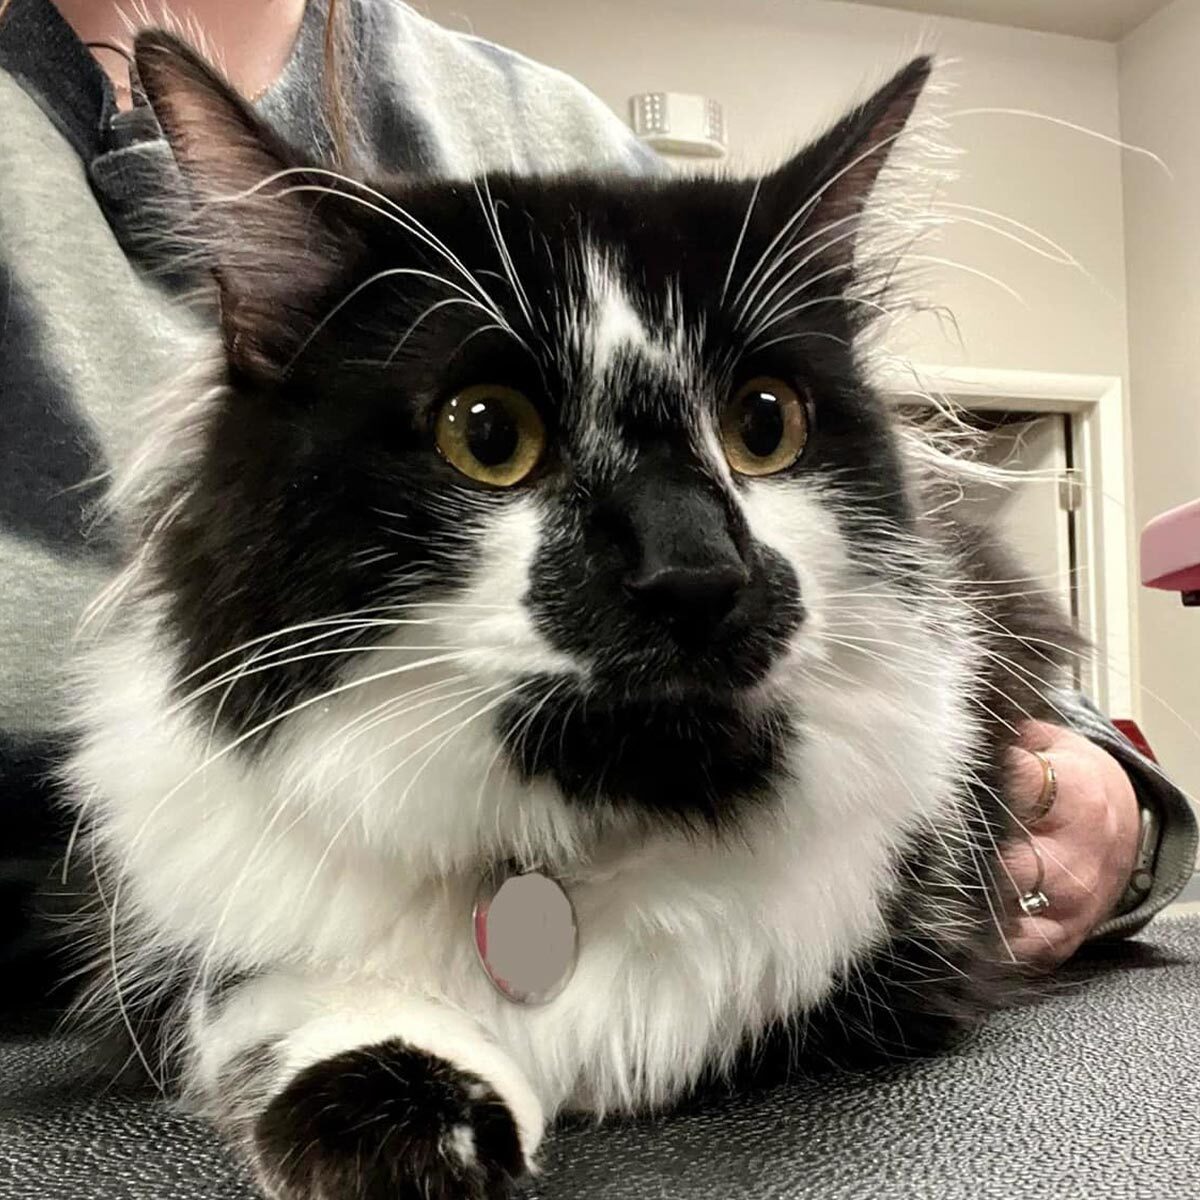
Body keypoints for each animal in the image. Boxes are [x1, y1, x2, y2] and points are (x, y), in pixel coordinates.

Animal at [70, 32, 1075, 1200]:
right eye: (487, 434)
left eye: (765, 425)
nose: (696, 569)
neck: (577, 832)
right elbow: (296, 1001)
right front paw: (408, 1127)